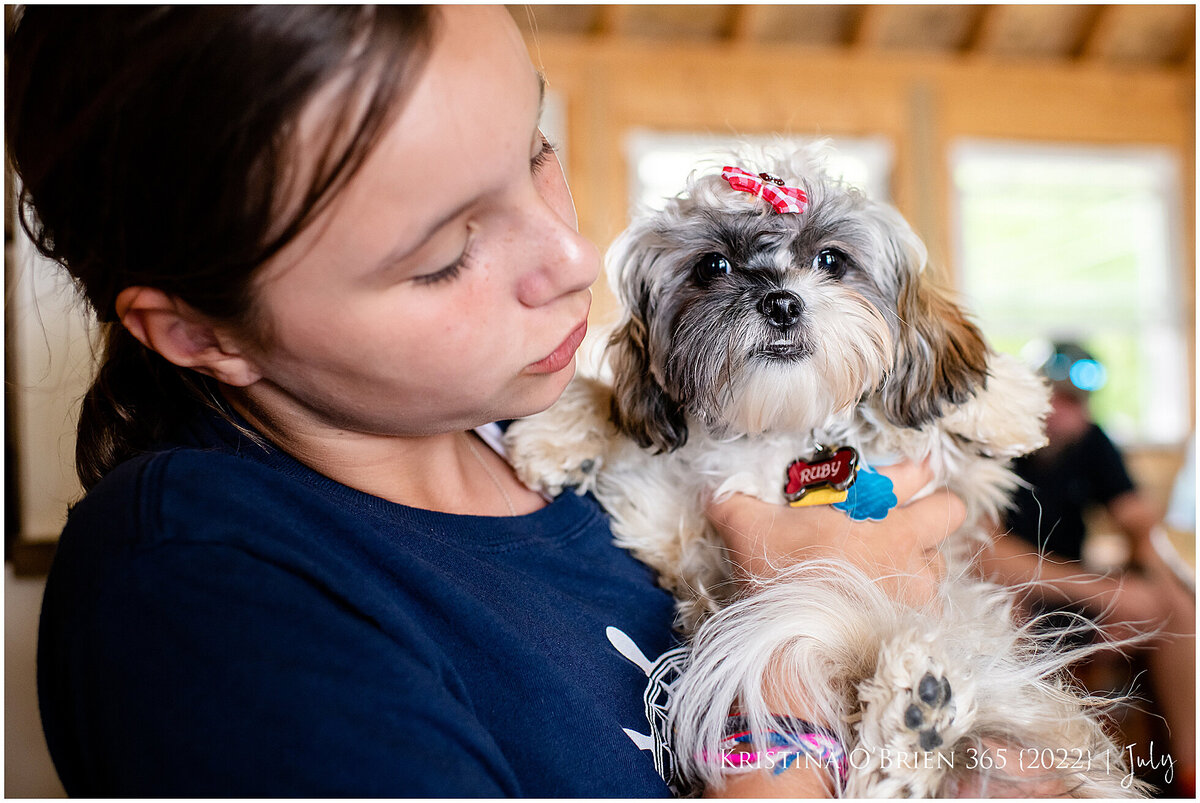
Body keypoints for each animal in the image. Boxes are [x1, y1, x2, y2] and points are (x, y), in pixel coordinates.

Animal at [504, 144, 1142, 796]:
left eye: (830, 260)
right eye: (713, 266)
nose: (782, 301)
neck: (787, 429)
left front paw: (1000, 398)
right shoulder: (674, 531)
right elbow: (618, 413)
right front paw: (556, 431)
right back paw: (916, 720)